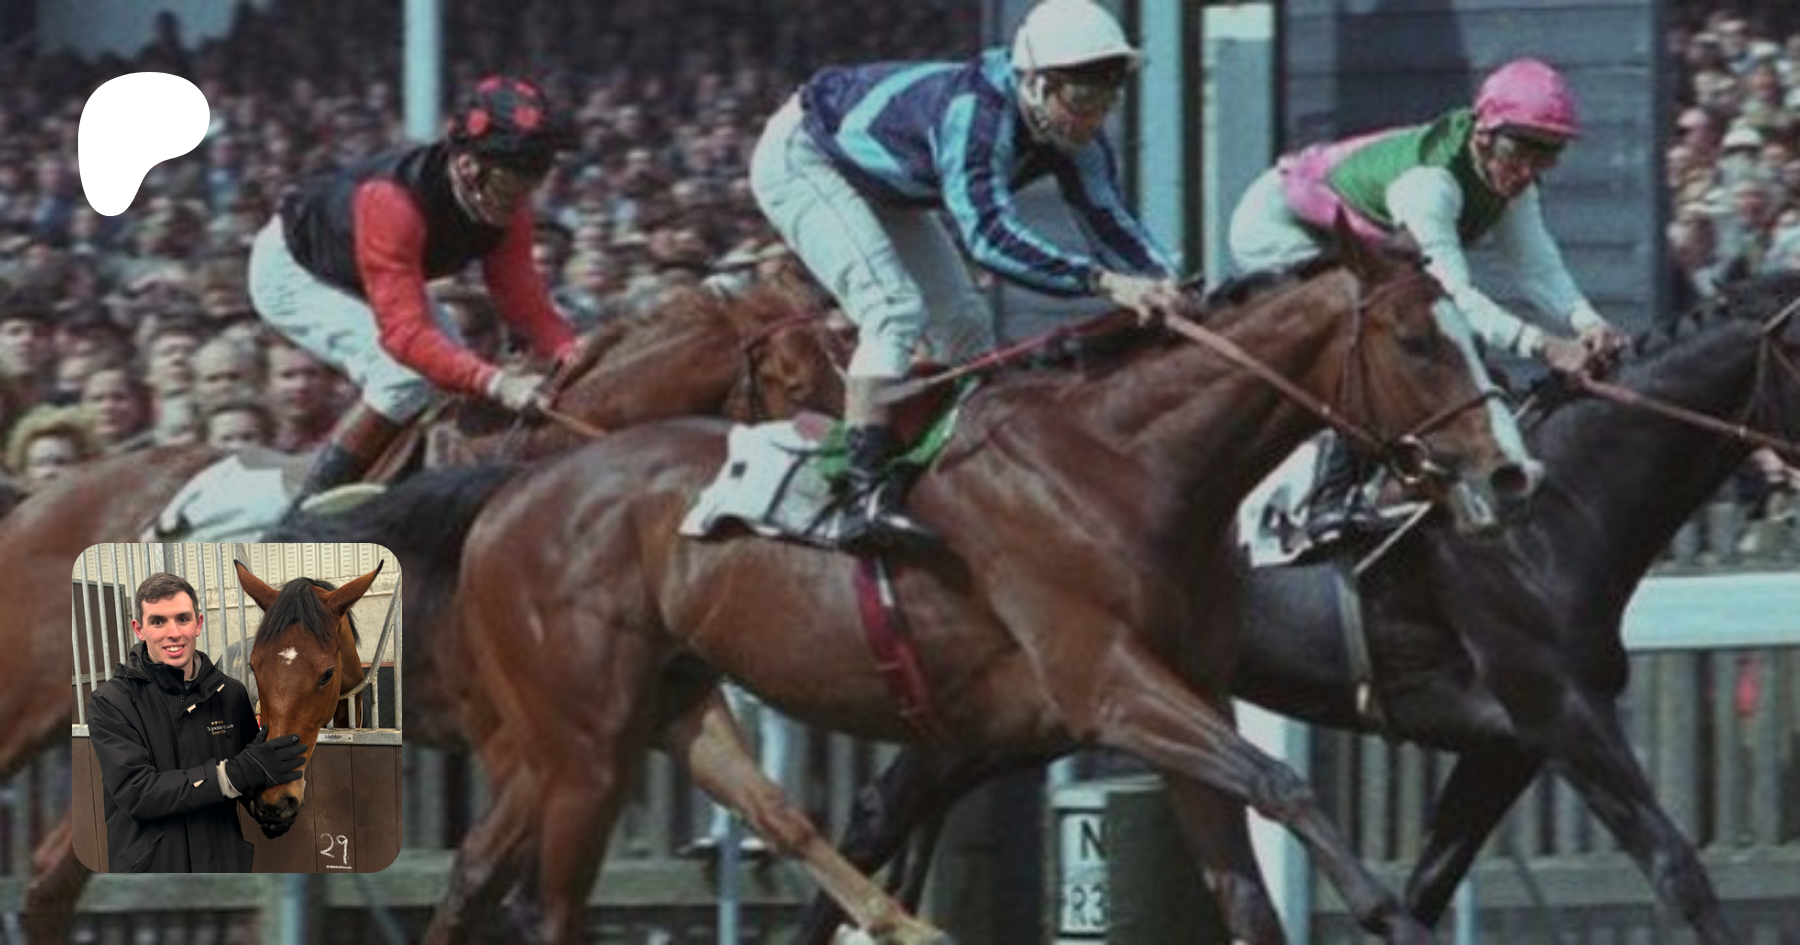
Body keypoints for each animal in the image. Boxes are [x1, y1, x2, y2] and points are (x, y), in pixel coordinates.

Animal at [320, 229, 1540, 944]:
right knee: (547, 900)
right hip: (579, 738)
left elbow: (1244, 874)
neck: (1125, 466)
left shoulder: (1173, 694)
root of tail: (516, 494)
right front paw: (1391, 914)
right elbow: (1284, 785)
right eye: (1422, 339)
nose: (1508, 471)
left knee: (492, 875)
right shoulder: (1107, 684)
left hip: (646, 711)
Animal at [794, 270, 1800, 944]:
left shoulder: (1506, 744)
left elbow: (1429, 882)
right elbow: (1678, 866)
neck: (1555, 511)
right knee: (879, 815)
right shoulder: (1556, 709)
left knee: (886, 809)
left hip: (1013, 708)